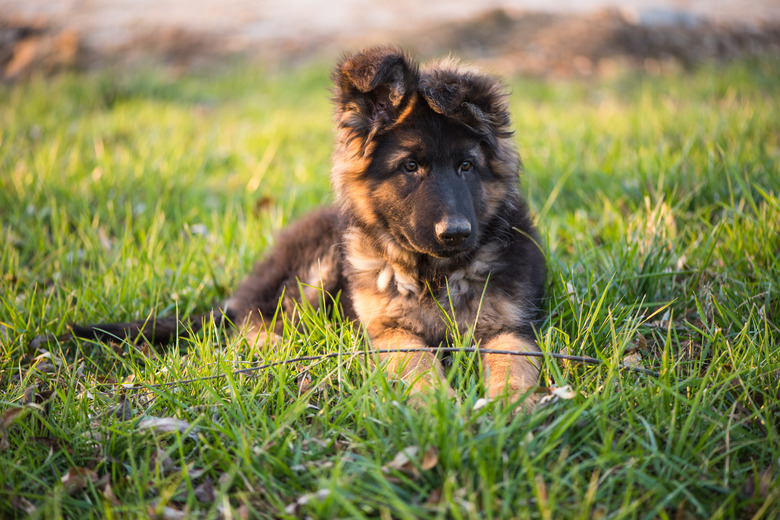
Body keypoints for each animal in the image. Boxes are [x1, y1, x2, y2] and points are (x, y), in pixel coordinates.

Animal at [73, 46, 548, 406]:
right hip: (313, 277)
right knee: (252, 328)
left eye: (466, 166)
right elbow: (416, 363)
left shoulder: (512, 327)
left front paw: (507, 412)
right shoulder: (388, 330)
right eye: (410, 166)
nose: (456, 234)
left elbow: (513, 367)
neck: (435, 273)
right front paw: (437, 405)